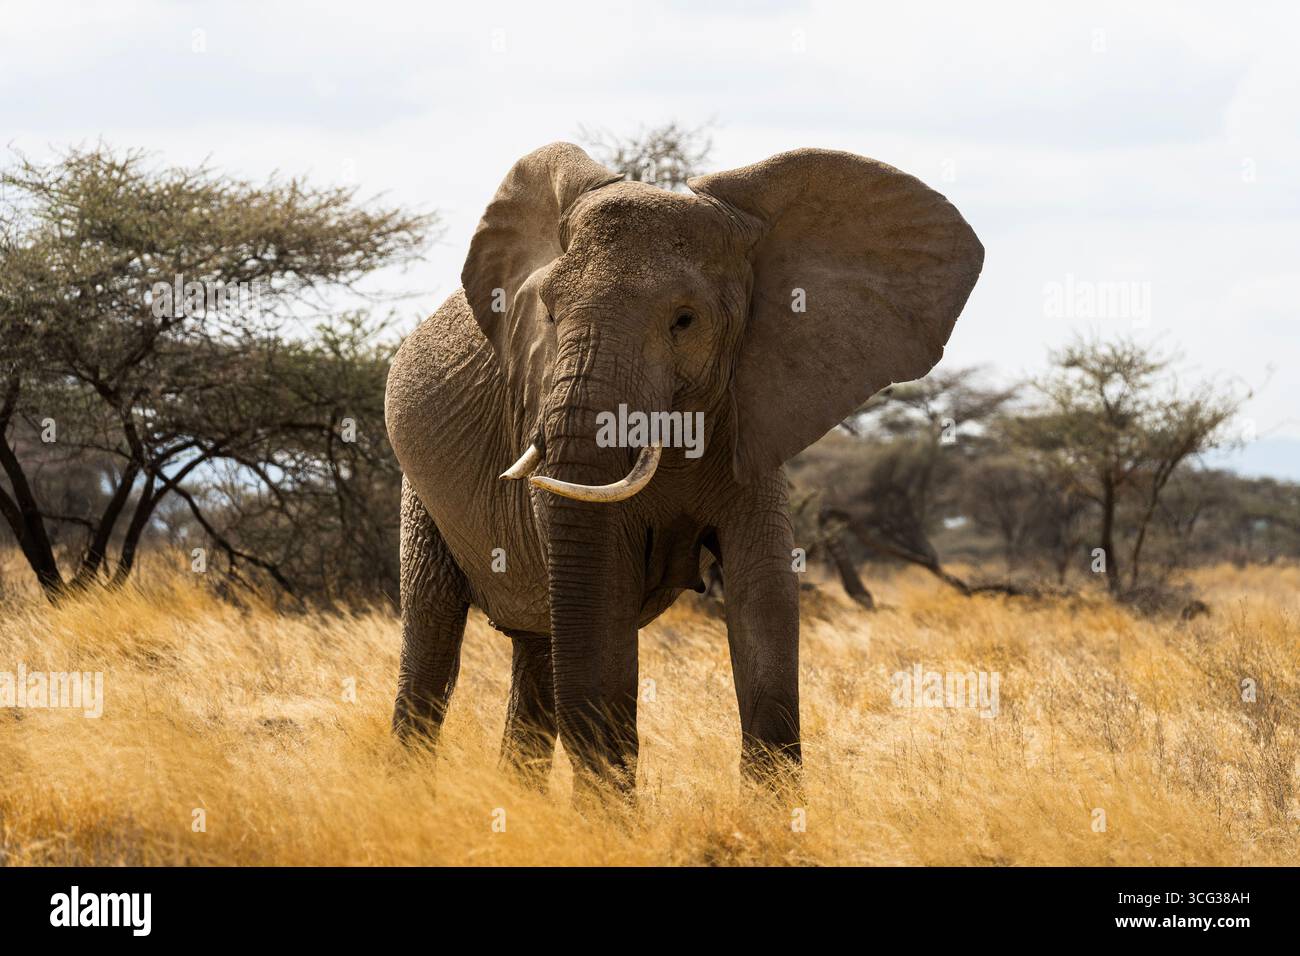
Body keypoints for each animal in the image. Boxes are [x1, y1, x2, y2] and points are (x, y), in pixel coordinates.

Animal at [384, 142, 983, 793]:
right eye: (549, 312)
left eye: (685, 320)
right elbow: (604, 602)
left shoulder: (754, 413)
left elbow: (764, 595)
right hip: (418, 495)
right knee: (434, 639)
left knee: (537, 648)